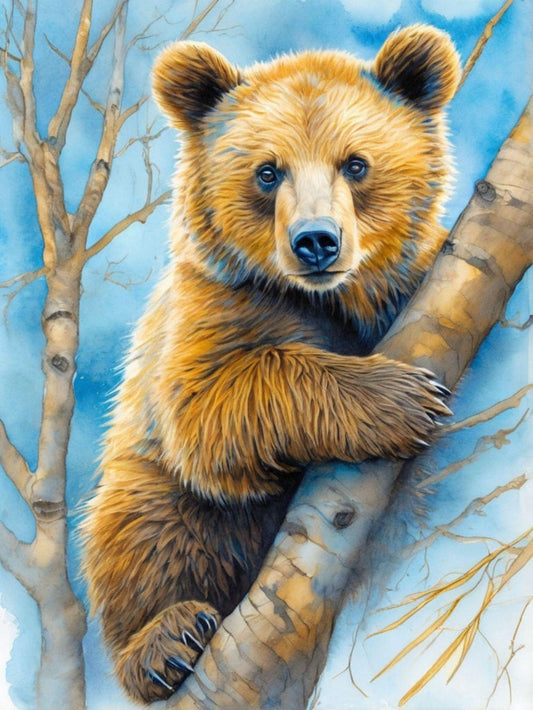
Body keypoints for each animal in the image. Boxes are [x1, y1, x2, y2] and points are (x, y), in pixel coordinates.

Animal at [82, 25, 460, 704]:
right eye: (266, 171)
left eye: (356, 163)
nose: (316, 241)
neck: (328, 298)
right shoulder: (217, 305)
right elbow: (210, 406)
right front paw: (404, 399)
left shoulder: (405, 284)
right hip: (156, 488)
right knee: (142, 529)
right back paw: (164, 641)